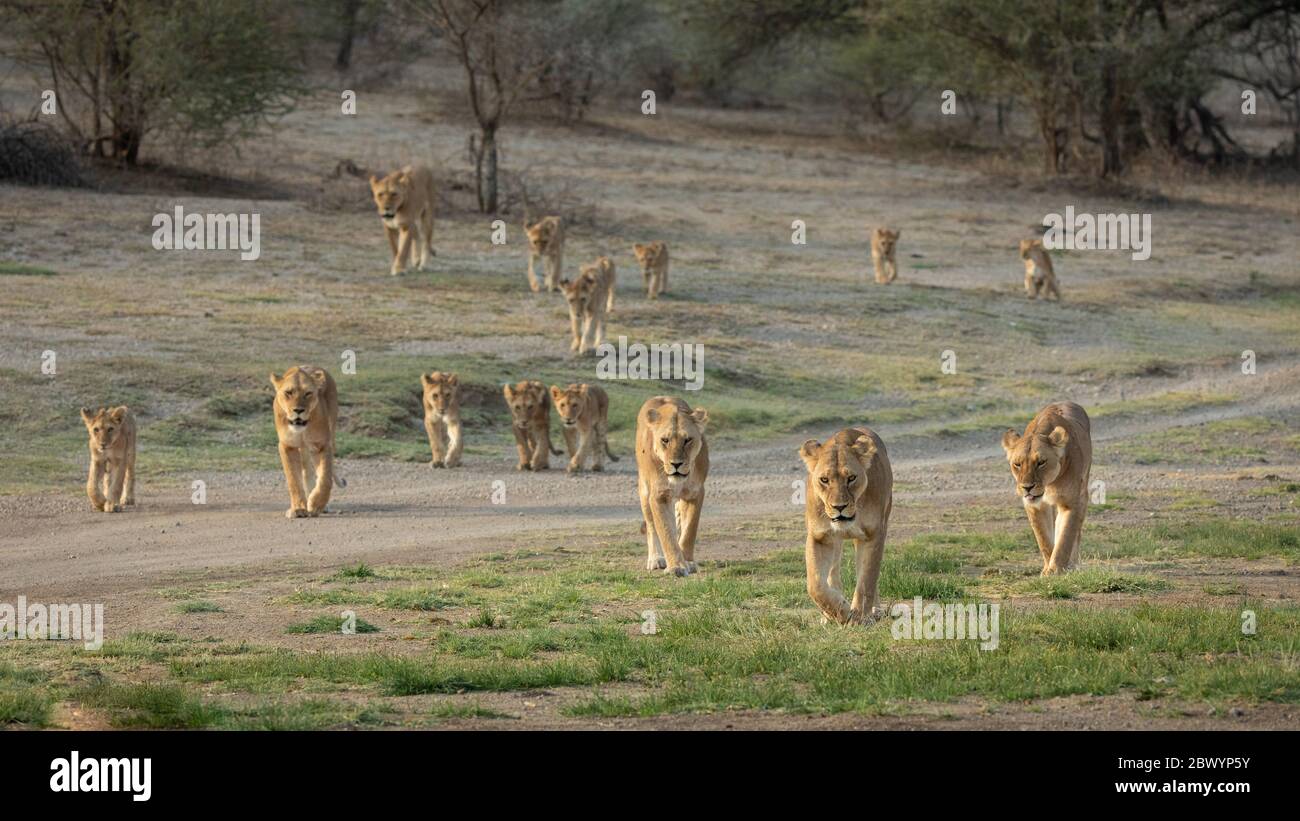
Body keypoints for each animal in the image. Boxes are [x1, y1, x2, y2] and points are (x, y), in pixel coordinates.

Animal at [267, 366, 345, 519]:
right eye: (288, 392)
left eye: (308, 393)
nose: (298, 410)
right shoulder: (287, 446)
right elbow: (293, 480)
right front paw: (298, 509)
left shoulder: (322, 444)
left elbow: (325, 478)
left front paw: (316, 504)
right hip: (303, 449)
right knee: (306, 471)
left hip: (330, 433)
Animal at [631, 397, 707, 576]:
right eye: (665, 440)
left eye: (688, 440)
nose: (676, 464)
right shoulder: (659, 496)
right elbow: (665, 532)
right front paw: (676, 566)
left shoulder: (695, 493)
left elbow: (689, 530)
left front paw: (687, 561)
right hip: (644, 492)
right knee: (651, 527)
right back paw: (655, 559)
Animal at [795, 428, 889, 620]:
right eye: (824, 479)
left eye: (851, 478)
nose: (839, 507)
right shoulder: (819, 537)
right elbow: (816, 586)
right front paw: (842, 613)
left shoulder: (874, 534)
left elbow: (867, 581)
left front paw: (859, 616)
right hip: (835, 542)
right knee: (833, 574)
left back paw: (874, 610)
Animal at [998, 400, 1092, 574]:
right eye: (1017, 464)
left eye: (1041, 462)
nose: (1027, 487)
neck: (1049, 484)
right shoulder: (1035, 506)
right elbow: (1044, 539)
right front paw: (1048, 568)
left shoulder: (1071, 503)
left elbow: (1065, 538)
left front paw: (1055, 570)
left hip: (1083, 491)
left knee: (1076, 532)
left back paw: (1073, 564)